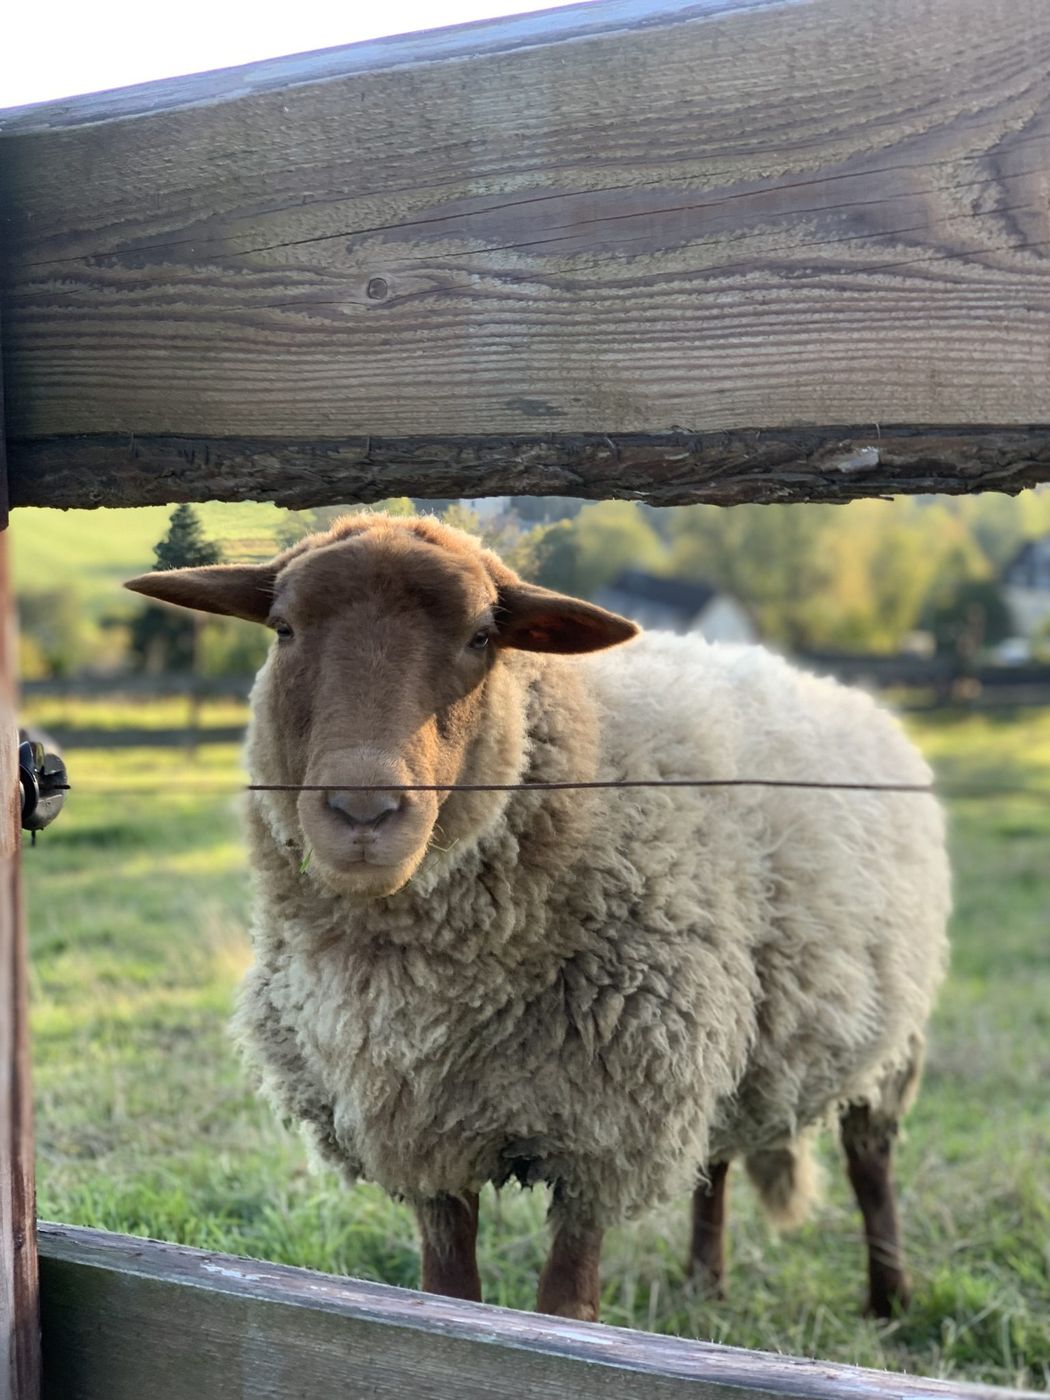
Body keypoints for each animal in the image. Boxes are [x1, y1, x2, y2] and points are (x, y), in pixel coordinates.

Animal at [126, 512, 950, 1322]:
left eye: (482, 636)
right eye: (284, 627)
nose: (363, 813)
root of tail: (845, 691)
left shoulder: (606, 1132)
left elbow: (564, 1312)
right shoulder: (424, 1131)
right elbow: (448, 1294)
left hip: (889, 1036)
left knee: (870, 1159)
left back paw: (890, 1299)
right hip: (724, 1035)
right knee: (712, 1160)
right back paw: (703, 1286)